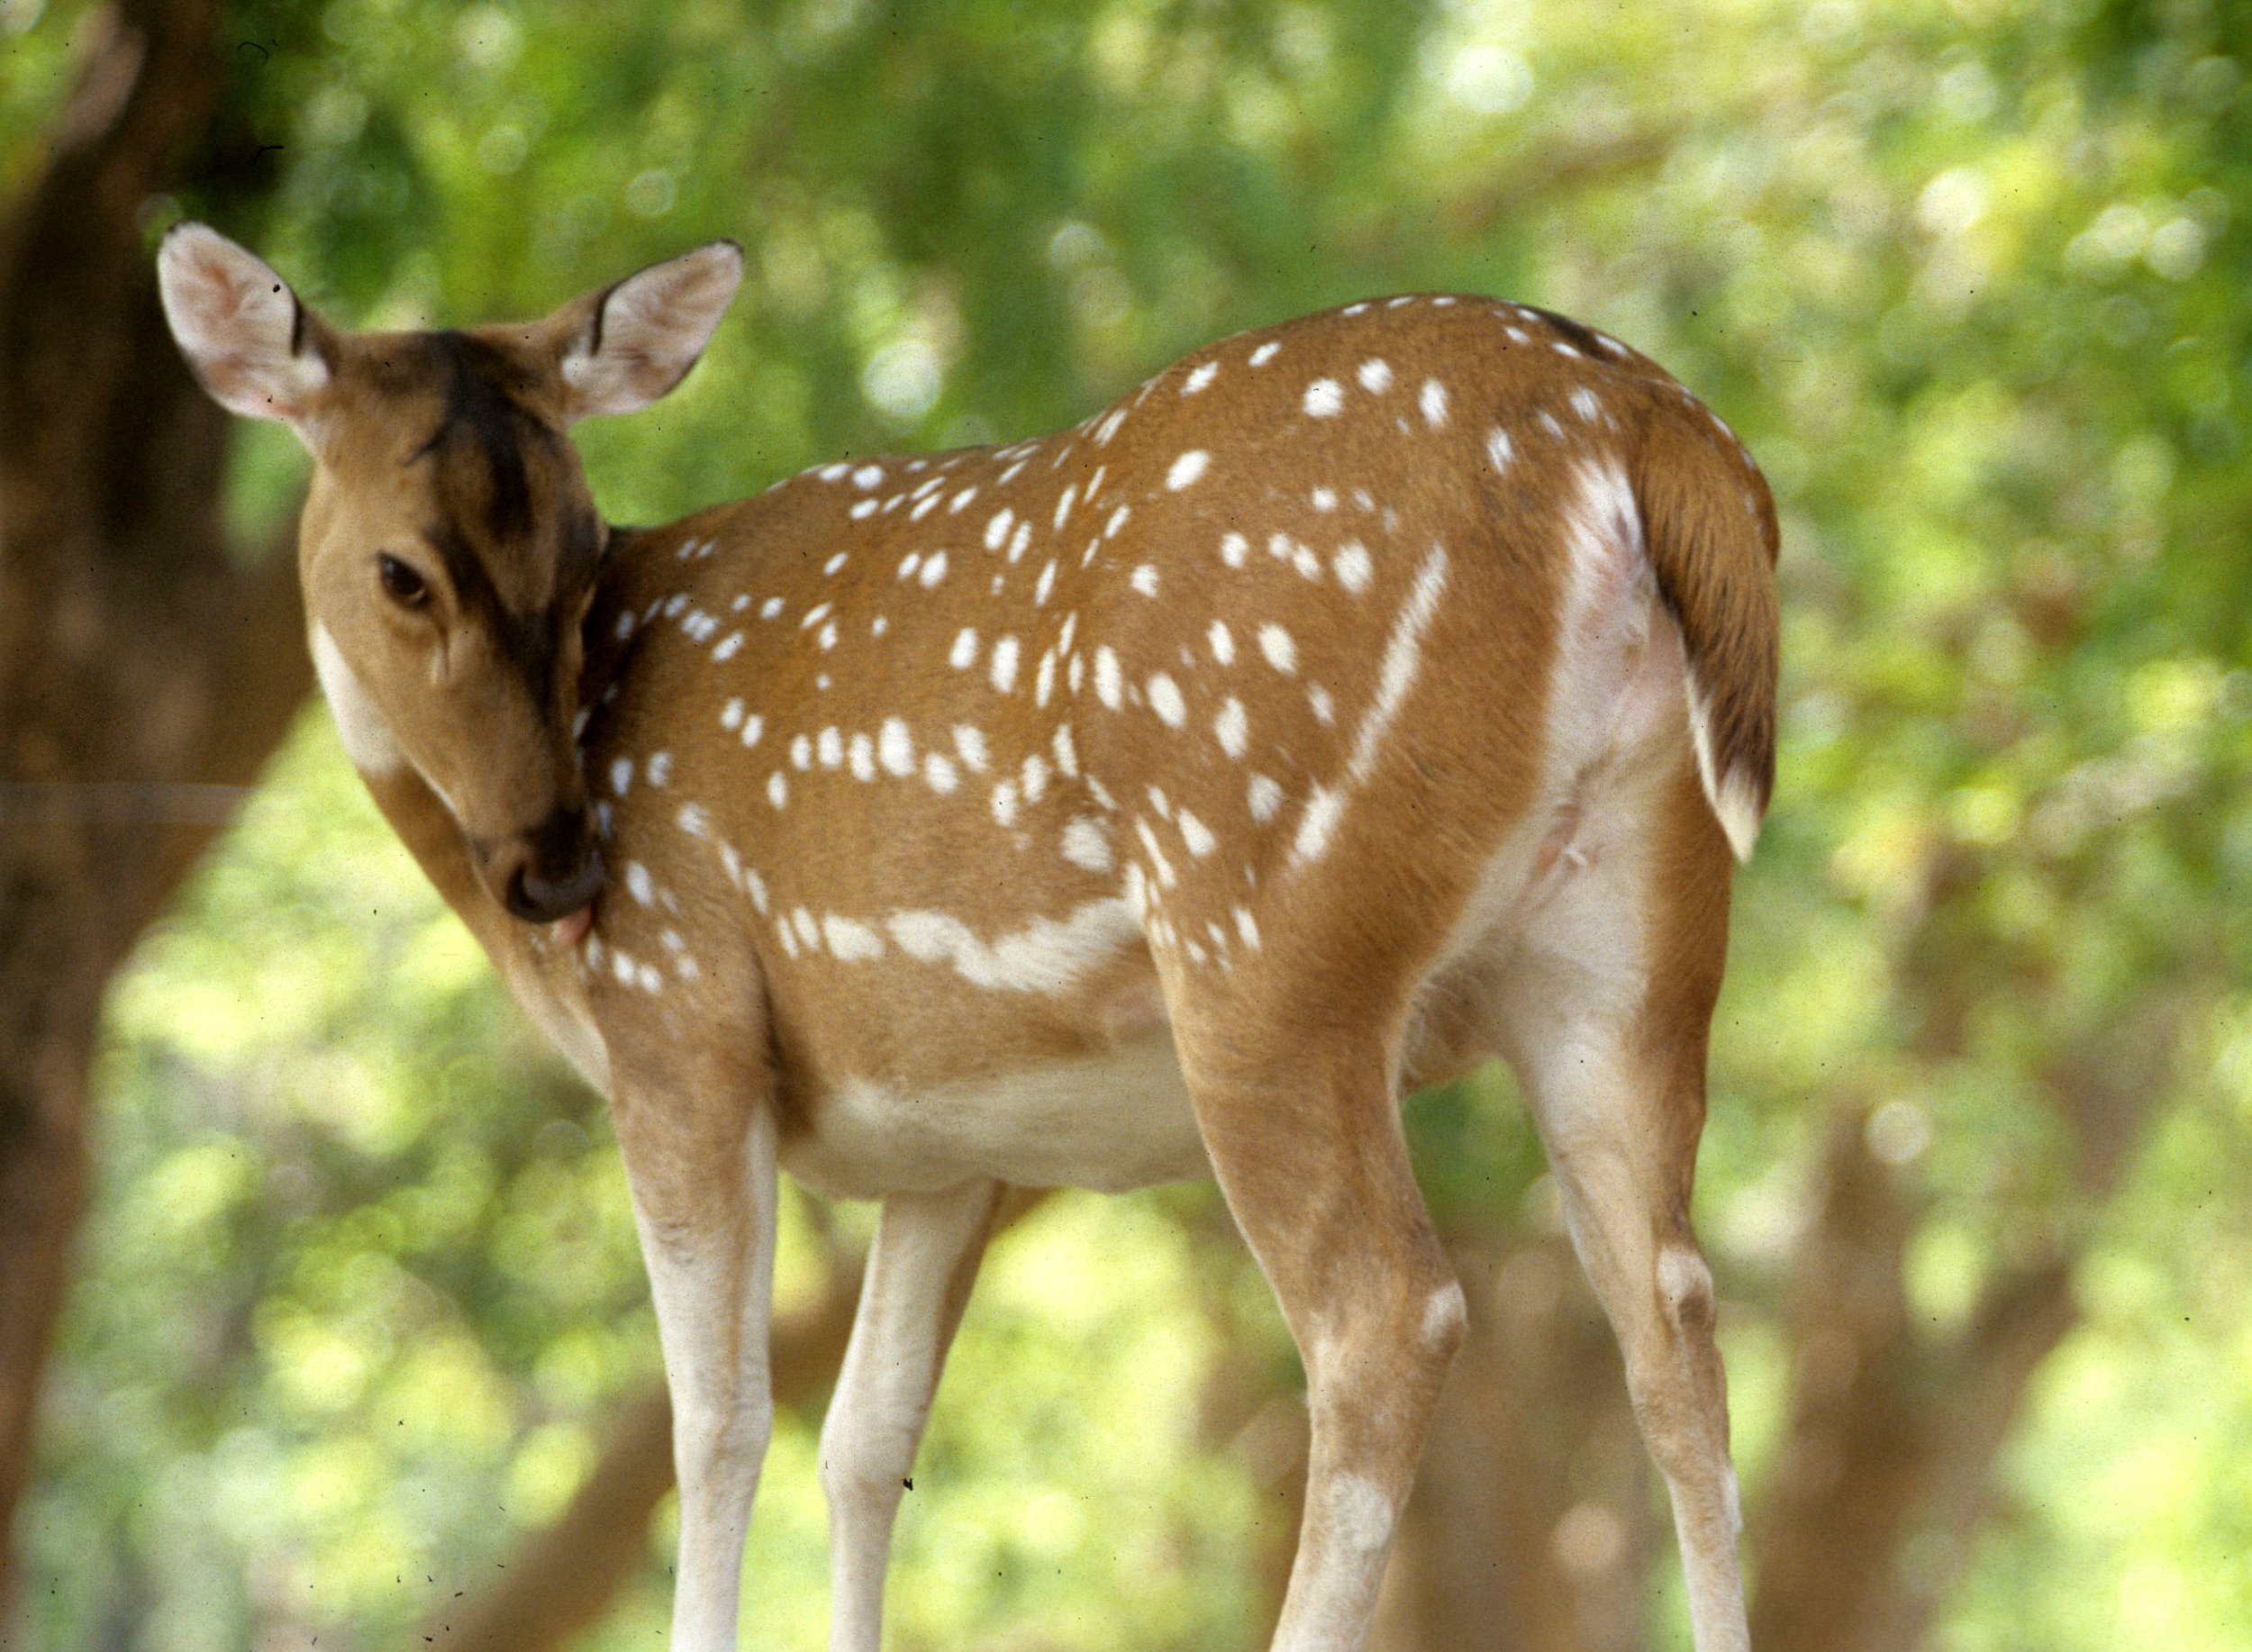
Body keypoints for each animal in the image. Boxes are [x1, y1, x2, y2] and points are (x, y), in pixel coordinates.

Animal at [157, 220, 1777, 1652]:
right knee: (1673, 1314)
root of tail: (1639, 426)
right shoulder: (946, 1136)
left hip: (1267, 926)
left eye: (576, 544)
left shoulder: (680, 1022)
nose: (554, 866)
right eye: (405, 569)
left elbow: (722, 1419)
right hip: (1634, 937)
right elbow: (865, 1441)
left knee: (1387, 1315)